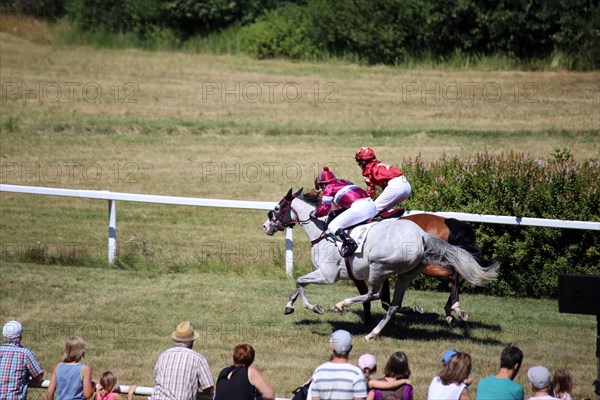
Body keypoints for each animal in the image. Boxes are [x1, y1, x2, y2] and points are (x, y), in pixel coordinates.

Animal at [264, 189, 500, 340]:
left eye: (276, 208)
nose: (265, 226)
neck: (323, 232)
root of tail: (422, 236)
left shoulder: (328, 274)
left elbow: (299, 281)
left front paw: (314, 307)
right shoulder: (347, 274)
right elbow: (299, 284)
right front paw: (289, 306)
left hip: (381, 267)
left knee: (376, 294)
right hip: (406, 273)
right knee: (392, 304)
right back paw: (373, 333)